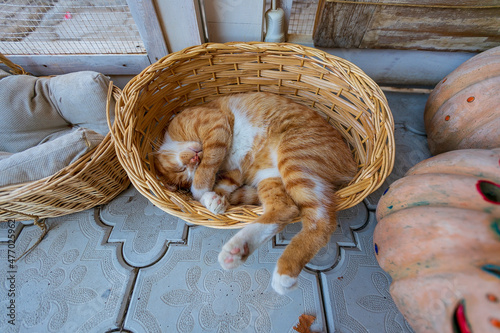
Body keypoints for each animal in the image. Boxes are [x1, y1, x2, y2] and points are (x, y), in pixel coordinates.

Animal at [154, 91, 358, 294]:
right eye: (183, 171)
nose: (195, 159)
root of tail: (351, 163)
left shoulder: (216, 126)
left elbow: (209, 162)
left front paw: (200, 189)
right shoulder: (234, 173)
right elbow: (221, 187)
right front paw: (214, 200)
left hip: (294, 159)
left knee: (321, 222)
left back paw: (284, 273)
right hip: (270, 176)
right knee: (285, 209)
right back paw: (238, 250)